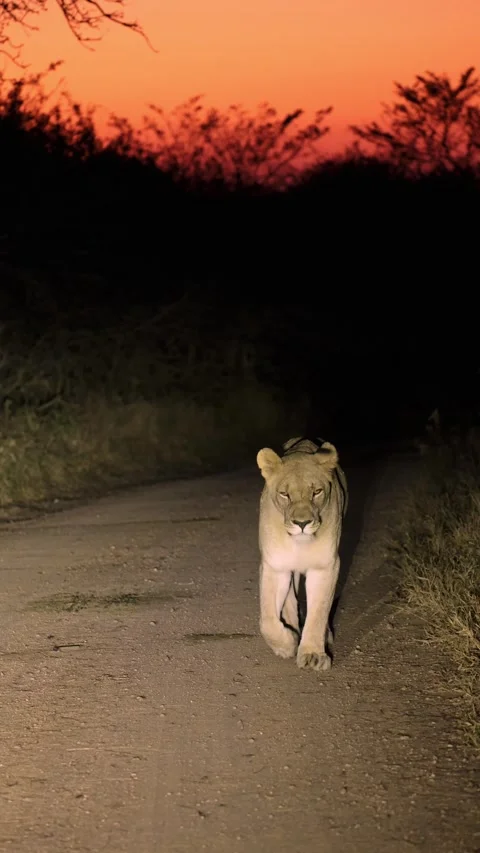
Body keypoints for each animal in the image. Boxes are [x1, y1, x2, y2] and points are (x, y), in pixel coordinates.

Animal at [256, 437, 348, 671]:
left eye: (316, 492)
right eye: (284, 494)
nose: (302, 523)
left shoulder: (325, 566)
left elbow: (318, 613)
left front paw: (313, 654)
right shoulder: (275, 566)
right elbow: (267, 620)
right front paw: (287, 644)